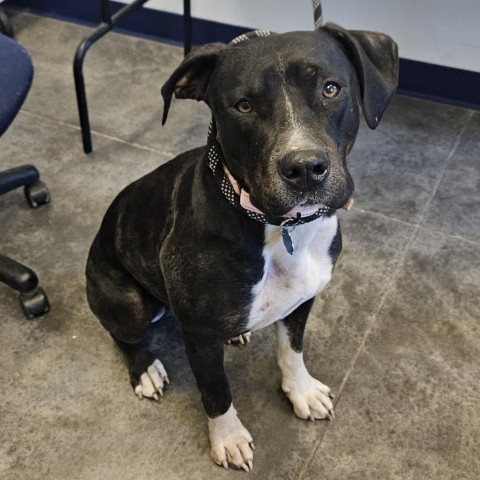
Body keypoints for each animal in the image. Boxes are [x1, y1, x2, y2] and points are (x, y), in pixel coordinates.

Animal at [85, 21, 398, 472]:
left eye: (331, 88)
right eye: (243, 105)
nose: (305, 168)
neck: (280, 229)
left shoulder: (303, 300)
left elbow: (292, 349)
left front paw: (302, 391)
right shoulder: (199, 337)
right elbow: (216, 391)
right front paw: (228, 439)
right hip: (128, 302)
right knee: (122, 334)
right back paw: (144, 369)